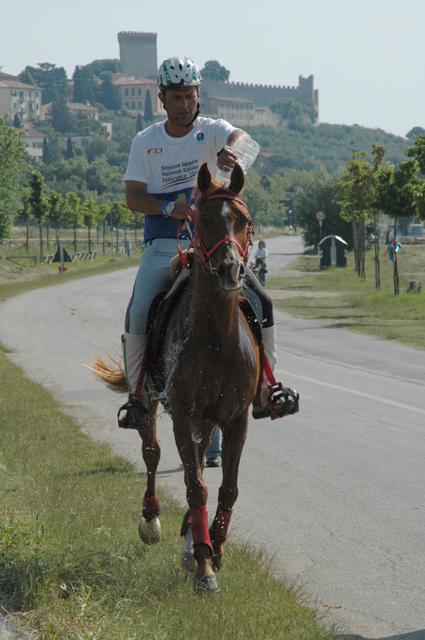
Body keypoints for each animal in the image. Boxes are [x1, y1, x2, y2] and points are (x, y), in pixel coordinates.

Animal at [92, 162, 258, 592]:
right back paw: (152, 522)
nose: (231, 270)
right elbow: (195, 486)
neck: (216, 338)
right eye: (202, 220)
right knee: (153, 455)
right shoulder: (183, 414)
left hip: (207, 419)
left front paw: (214, 548)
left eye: (243, 221)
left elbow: (226, 487)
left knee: (197, 463)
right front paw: (204, 567)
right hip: (151, 405)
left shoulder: (235, 420)